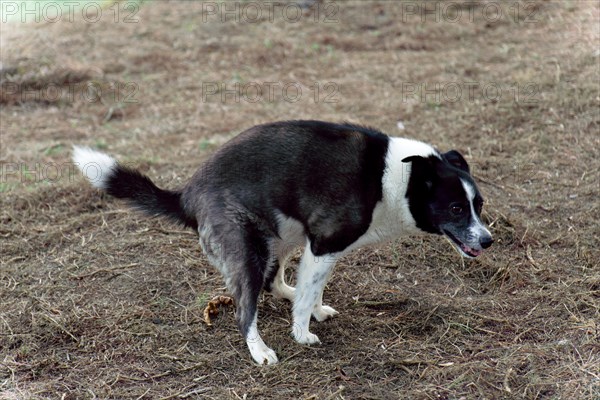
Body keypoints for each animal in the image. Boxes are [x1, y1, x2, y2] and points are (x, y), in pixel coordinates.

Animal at [72, 120, 492, 364]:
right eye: (456, 208)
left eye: (479, 205)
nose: (488, 240)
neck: (395, 179)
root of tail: (186, 195)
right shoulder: (325, 242)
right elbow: (307, 296)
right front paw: (302, 333)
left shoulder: (319, 247)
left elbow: (312, 289)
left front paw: (313, 311)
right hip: (248, 253)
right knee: (246, 310)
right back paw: (259, 350)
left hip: (282, 236)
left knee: (275, 283)